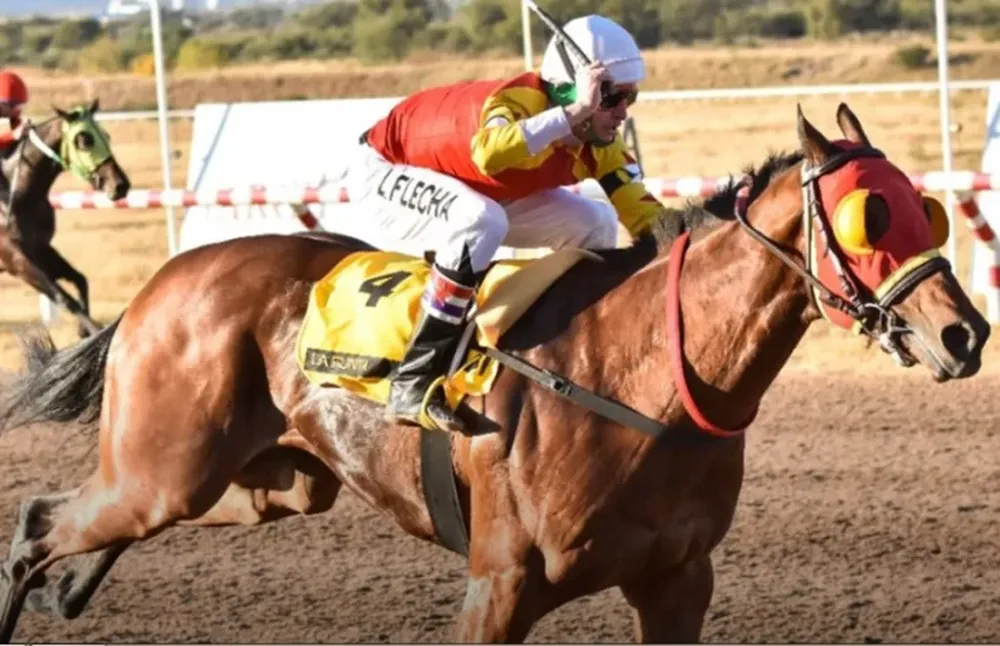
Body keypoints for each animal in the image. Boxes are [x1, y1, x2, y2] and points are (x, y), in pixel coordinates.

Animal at [0, 99, 131, 338]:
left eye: (106, 136)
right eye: (85, 140)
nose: (120, 185)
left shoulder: (41, 250)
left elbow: (80, 279)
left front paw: (83, 331)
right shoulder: (16, 260)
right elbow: (63, 297)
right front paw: (94, 331)